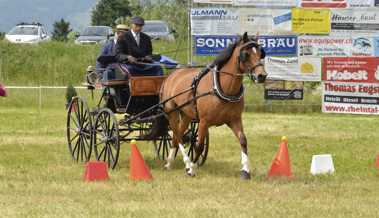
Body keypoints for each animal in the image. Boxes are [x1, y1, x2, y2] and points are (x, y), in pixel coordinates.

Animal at [154, 31, 268, 179]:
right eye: (246, 54)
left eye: (261, 54)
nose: (262, 75)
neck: (223, 88)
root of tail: (171, 76)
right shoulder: (204, 121)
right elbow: (199, 146)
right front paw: (192, 168)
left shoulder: (235, 119)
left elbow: (243, 140)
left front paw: (245, 171)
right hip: (171, 111)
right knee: (178, 136)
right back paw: (186, 164)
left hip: (186, 115)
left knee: (176, 136)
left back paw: (169, 163)